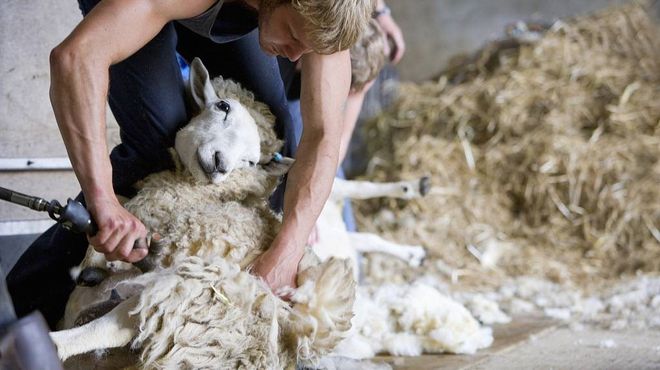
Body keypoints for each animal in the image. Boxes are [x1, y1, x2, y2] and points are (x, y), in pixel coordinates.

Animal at [51, 58, 356, 370]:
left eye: (250, 162)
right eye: (222, 106)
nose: (220, 163)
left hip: (194, 294)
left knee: (115, 325)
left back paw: (58, 340)